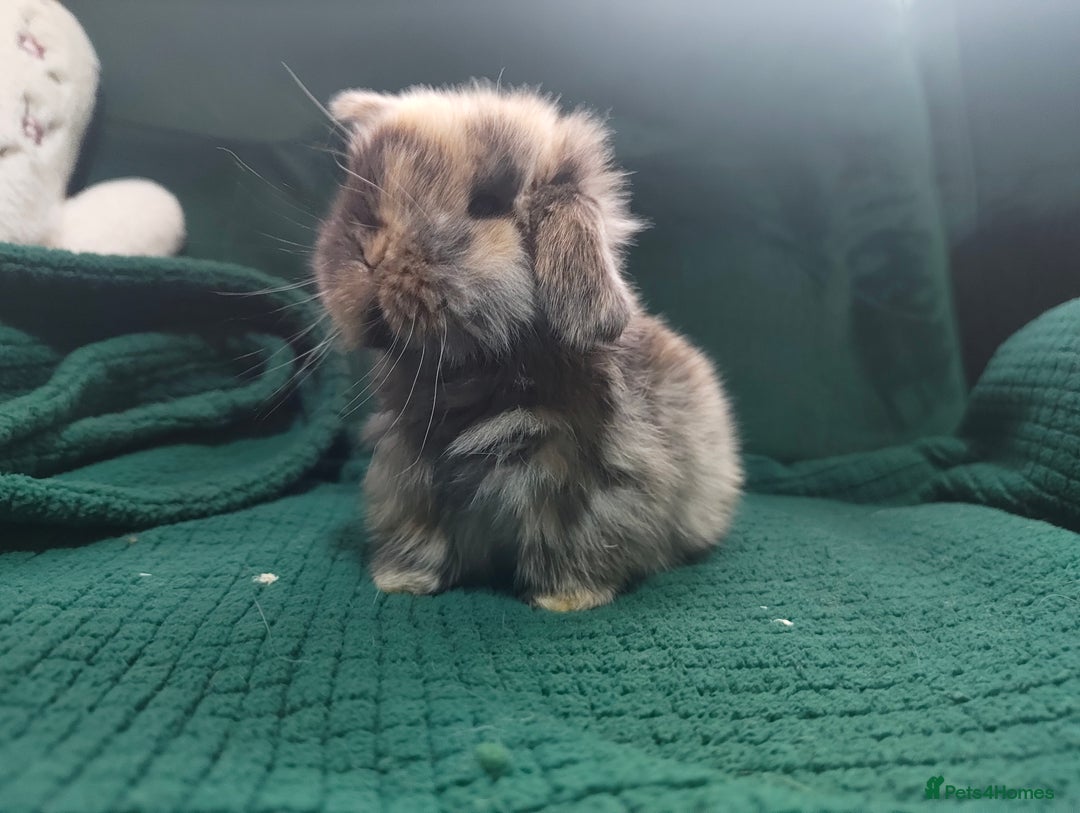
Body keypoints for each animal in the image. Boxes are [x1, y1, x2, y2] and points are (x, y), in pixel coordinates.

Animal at [314, 82, 743, 611]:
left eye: (487, 203)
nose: (372, 253)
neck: (472, 374)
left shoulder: (590, 486)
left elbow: (573, 542)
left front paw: (568, 599)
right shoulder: (408, 475)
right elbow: (418, 534)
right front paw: (400, 581)